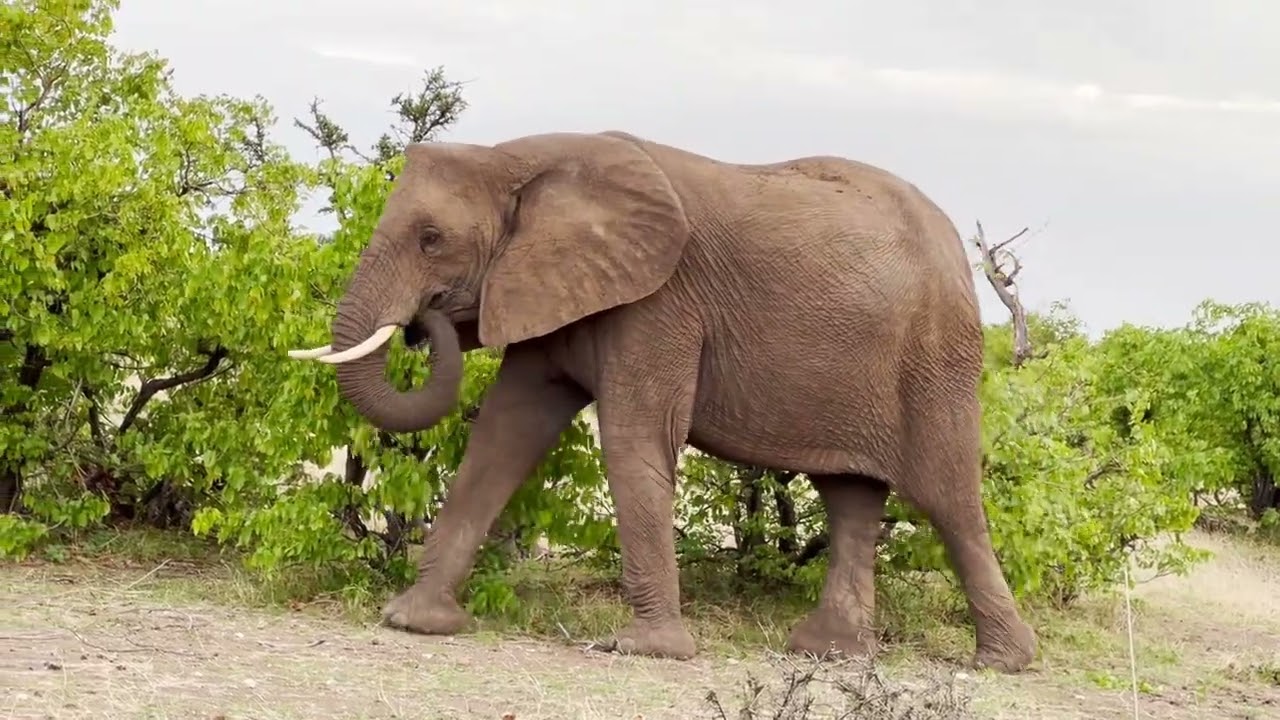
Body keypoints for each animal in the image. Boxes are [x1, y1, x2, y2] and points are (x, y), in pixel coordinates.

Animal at [288, 129, 1038, 673]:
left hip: (937, 354)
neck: (521, 158)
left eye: (431, 239)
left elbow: (633, 439)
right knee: (850, 496)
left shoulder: (659, 302)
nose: (423, 322)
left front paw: (645, 651)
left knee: (948, 499)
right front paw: (415, 621)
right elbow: (503, 435)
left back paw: (1003, 663)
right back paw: (828, 652)